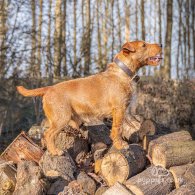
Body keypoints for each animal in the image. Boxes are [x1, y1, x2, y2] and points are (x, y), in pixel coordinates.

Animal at [17, 40, 162, 155]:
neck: (122, 73)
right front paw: (120, 144)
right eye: (144, 45)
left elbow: (132, 123)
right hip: (61, 118)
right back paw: (55, 151)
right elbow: (117, 129)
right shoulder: (119, 109)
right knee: (48, 134)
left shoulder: (125, 110)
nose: (161, 44)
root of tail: (49, 88)